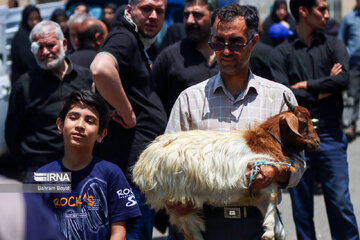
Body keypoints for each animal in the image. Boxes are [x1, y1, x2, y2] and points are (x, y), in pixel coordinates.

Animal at [133, 94, 320, 239]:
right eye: (303, 122)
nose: (317, 142)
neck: (264, 142)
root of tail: (143, 164)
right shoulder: (266, 186)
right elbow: (271, 223)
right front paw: (268, 233)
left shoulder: (260, 196)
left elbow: (280, 231)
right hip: (177, 199)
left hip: (182, 208)